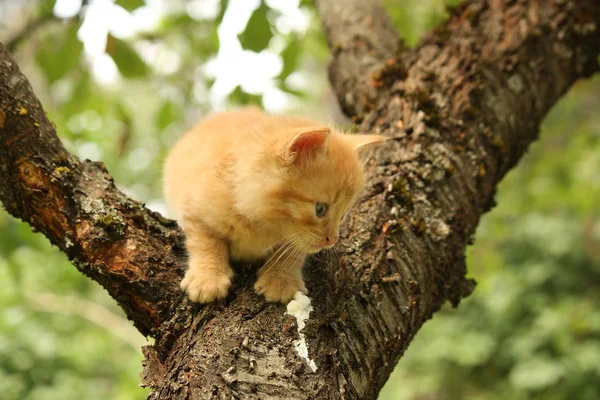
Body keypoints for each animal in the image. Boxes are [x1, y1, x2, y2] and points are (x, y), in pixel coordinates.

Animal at [162, 107, 386, 304]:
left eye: (343, 215)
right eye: (320, 209)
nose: (333, 240)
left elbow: (292, 252)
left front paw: (280, 280)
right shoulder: (194, 209)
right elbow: (205, 242)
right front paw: (208, 277)